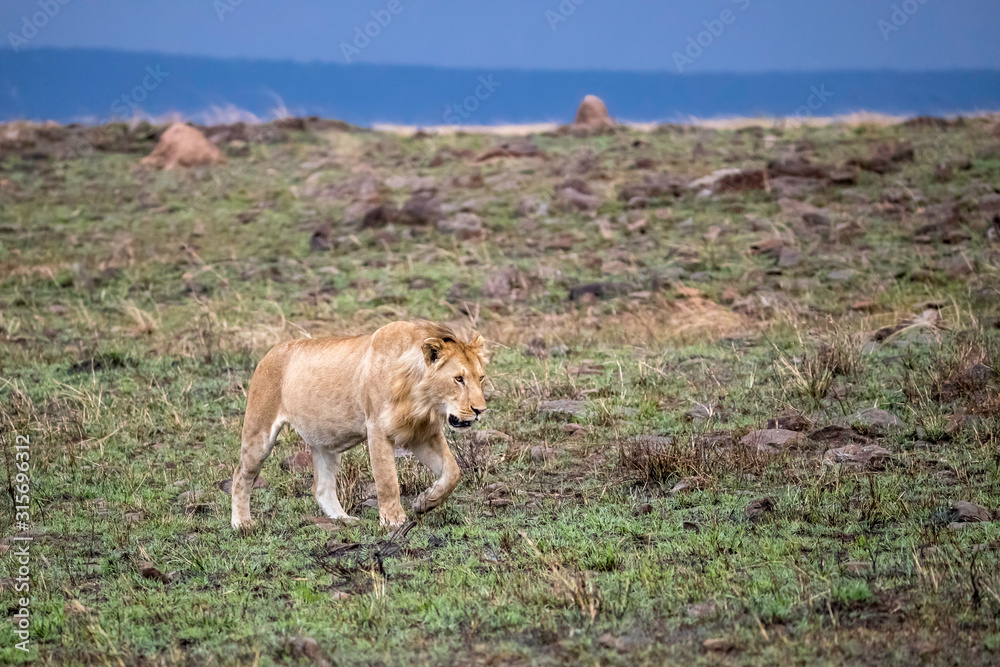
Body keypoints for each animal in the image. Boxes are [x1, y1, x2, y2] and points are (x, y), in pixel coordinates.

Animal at [231, 320, 489, 531]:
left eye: (481, 378)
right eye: (458, 379)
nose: (480, 410)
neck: (422, 400)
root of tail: (270, 352)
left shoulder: (423, 434)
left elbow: (452, 471)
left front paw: (424, 502)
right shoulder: (378, 430)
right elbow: (387, 480)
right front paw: (393, 520)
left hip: (325, 443)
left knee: (321, 488)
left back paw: (343, 519)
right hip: (259, 432)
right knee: (240, 475)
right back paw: (242, 523)